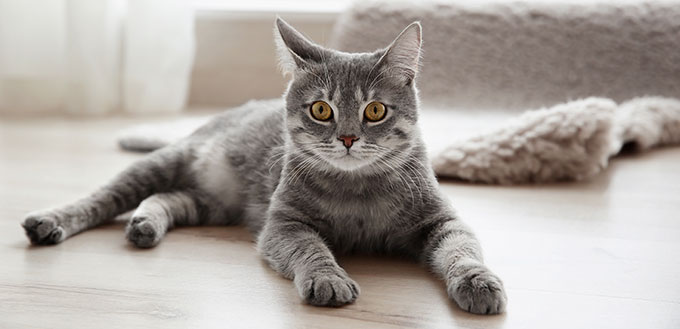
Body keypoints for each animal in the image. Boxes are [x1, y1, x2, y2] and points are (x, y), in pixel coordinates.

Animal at [21, 17, 508, 312]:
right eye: (321, 110)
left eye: (375, 111)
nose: (348, 138)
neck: (358, 192)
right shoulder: (283, 224)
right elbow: (311, 249)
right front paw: (328, 278)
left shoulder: (441, 219)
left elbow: (462, 249)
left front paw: (478, 281)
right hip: (164, 164)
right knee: (102, 197)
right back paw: (51, 221)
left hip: (213, 203)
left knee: (168, 198)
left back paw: (145, 223)